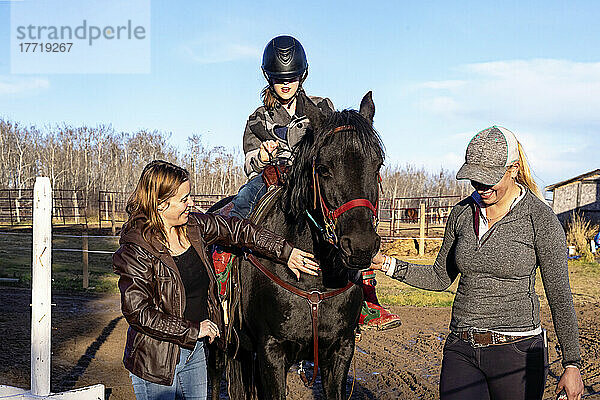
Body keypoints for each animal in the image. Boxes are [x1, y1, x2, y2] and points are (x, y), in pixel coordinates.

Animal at [216, 92, 384, 398]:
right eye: (324, 169)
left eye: (377, 165)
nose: (360, 245)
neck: (315, 285)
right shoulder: (271, 352)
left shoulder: (341, 350)